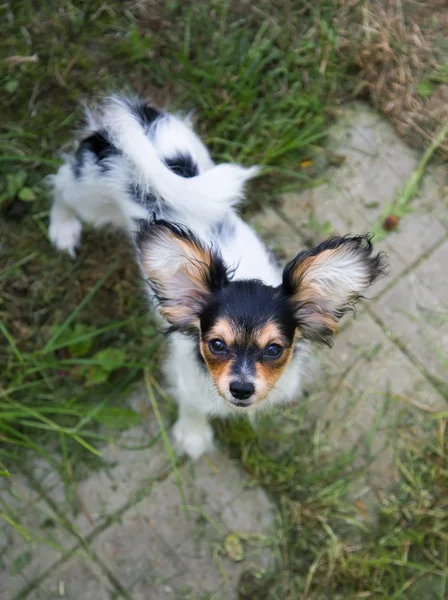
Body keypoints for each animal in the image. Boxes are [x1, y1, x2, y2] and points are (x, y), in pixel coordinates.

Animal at [48, 95, 384, 460]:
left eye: (275, 349)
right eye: (217, 344)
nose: (241, 388)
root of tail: (136, 120)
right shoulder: (187, 378)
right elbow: (193, 405)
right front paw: (193, 435)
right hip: (91, 196)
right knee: (60, 183)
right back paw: (62, 227)